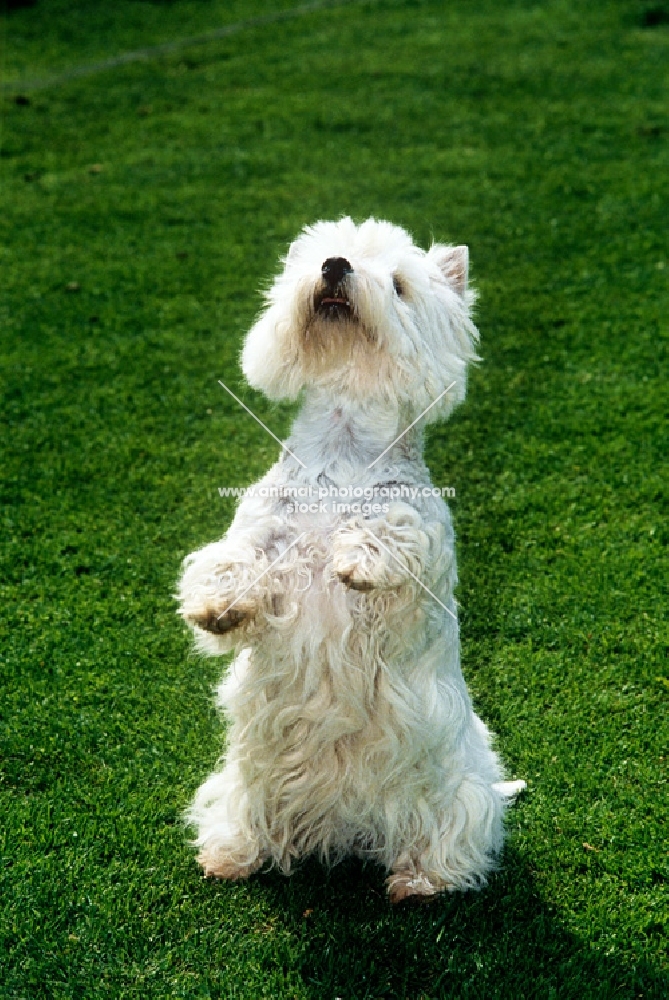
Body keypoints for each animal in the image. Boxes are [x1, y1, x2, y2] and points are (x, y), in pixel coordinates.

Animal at [177, 219, 520, 908]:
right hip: (241, 781)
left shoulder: (420, 553)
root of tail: (348, 830)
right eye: (320, 254)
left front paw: (357, 556)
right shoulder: (265, 531)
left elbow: (396, 528)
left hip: (457, 790)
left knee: (447, 836)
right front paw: (213, 605)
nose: (335, 266)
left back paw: (418, 882)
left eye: (400, 284)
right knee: (246, 817)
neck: (343, 441)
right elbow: (235, 557)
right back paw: (230, 855)